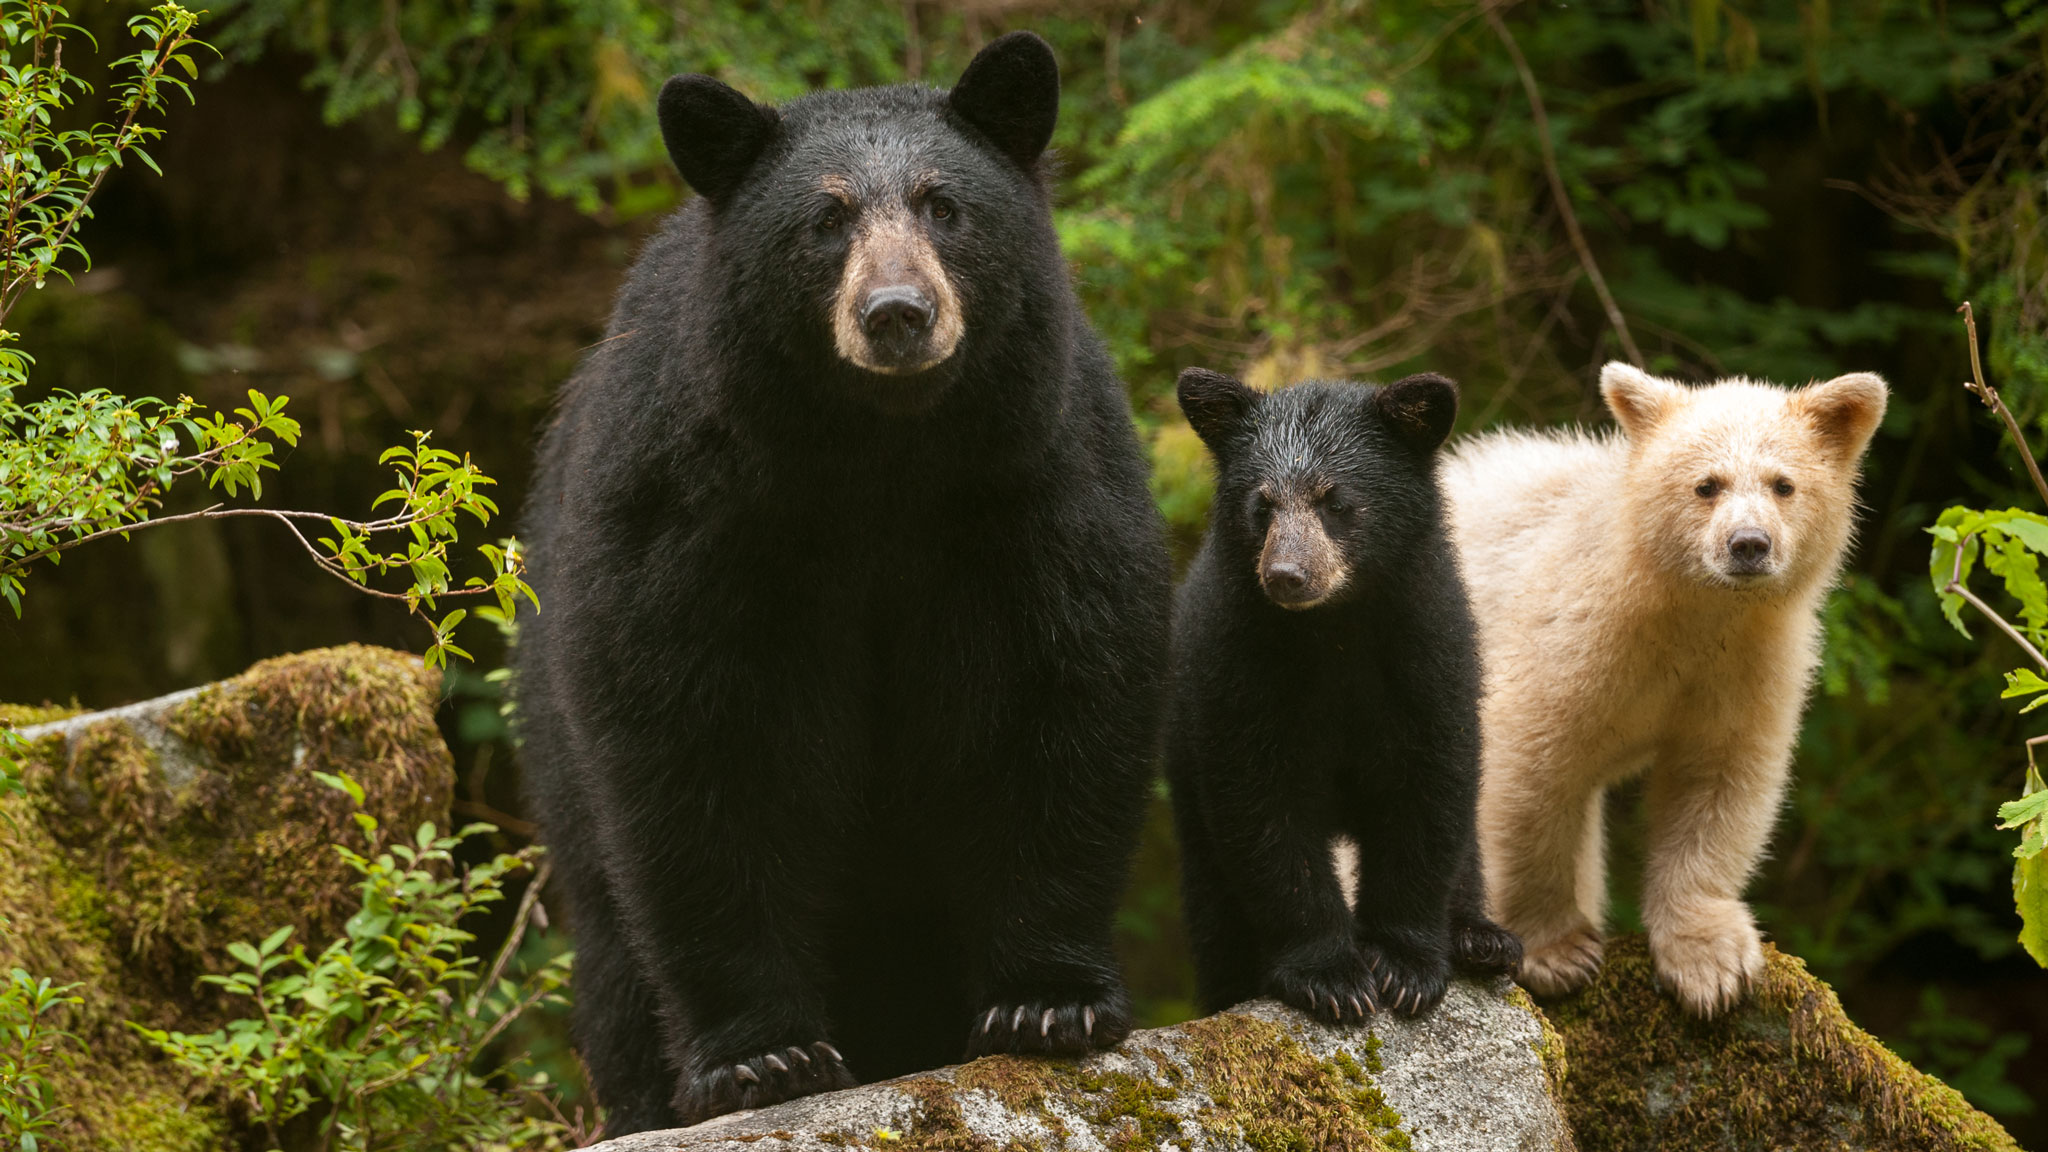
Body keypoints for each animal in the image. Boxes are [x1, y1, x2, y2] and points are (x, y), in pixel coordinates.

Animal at [512, 33, 1172, 1134]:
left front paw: (1047, 1004)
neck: (880, 460)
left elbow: (1058, 701)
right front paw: (761, 1057)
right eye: (825, 220)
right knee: (610, 959)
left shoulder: (1035, 485)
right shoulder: (696, 514)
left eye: (943, 204)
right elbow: (698, 747)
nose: (897, 314)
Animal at [1165, 368, 1522, 1024]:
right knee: (1214, 905)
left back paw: (1481, 939)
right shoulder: (1238, 668)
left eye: (1335, 501)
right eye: (1262, 504)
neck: (1333, 631)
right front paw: (1330, 976)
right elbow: (1264, 810)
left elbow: (1428, 796)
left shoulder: (1429, 656)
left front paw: (1406, 966)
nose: (1286, 575)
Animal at [1443, 363, 1888, 1016]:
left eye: (1783, 484)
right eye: (1707, 485)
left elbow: (1718, 781)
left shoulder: (1746, 665)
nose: (1749, 544)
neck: (1683, 609)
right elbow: (1531, 769)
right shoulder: (1571, 637)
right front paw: (1556, 952)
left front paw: (1712, 965)